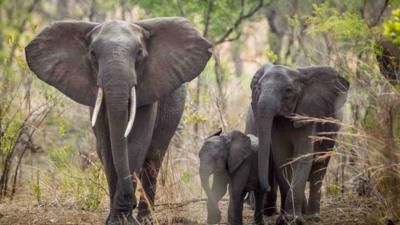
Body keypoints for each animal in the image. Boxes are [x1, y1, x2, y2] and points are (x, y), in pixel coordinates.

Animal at [24, 18, 212, 225]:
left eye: (139, 53)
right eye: (93, 54)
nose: (131, 203)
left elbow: (136, 144)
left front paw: (124, 219)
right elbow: (107, 149)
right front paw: (116, 220)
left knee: (153, 159)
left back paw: (146, 219)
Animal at [248, 64, 348, 224]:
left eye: (288, 90)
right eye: (257, 88)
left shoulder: (308, 114)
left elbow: (302, 157)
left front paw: (293, 219)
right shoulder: (277, 124)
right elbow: (282, 159)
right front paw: (284, 219)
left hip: (332, 131)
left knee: (319, 167)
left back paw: (313, 216)